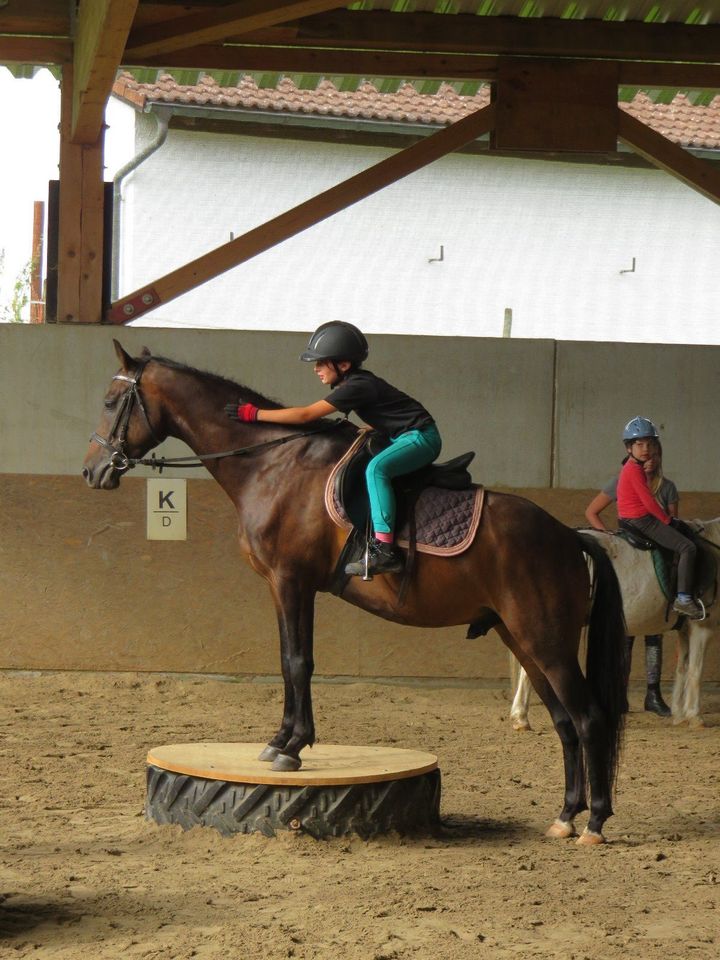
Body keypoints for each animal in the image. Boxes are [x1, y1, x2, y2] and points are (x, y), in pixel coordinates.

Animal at [81, 342, 628, 844]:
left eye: (110, 401)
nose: (92, 471)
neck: (273, 463)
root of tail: (568, 535)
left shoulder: (291, 580)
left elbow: (296, 661)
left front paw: (291, 746)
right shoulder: (287, 586)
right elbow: (292, 659)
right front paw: (285, 740)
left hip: (547, 643)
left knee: (589, 719)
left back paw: (595, 822)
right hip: (523, 640)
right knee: (564, 723)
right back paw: (565, 816)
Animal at [510, 520, 716, 732]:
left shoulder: (686, 629)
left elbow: (682, 668)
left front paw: (679, 714)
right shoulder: (703, 628)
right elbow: (695, 670)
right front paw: (694, 716)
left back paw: (521, 717)